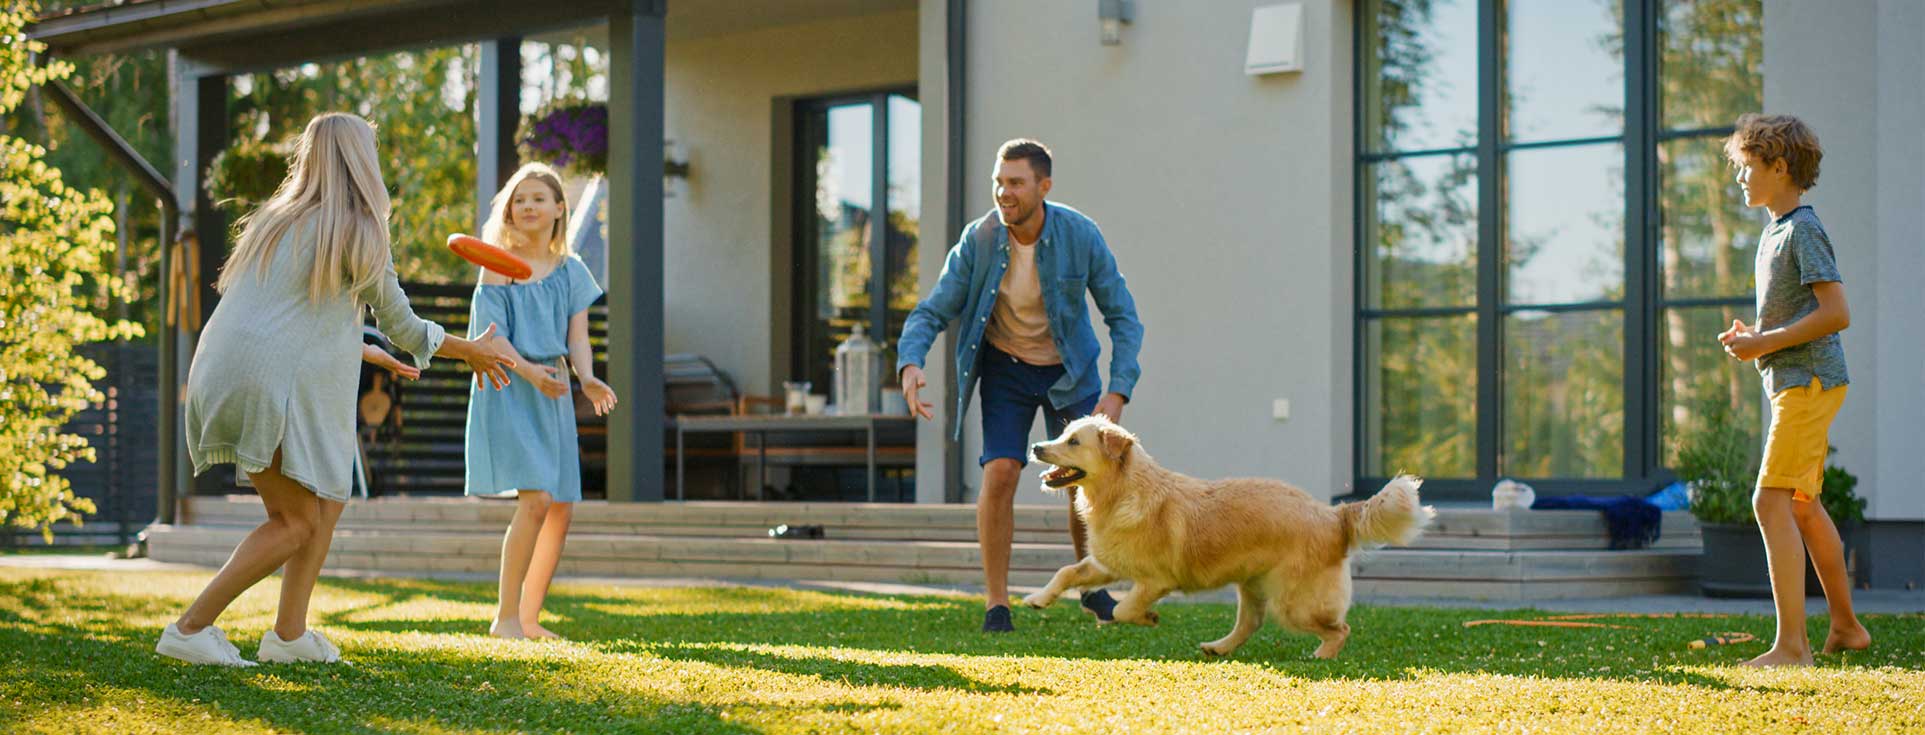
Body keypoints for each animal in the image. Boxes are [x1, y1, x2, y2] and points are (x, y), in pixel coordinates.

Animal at [1024, 413, 1432, 661]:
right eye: (1063, 434)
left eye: (1073, 442)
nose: (1036, 447)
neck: (1123, 491)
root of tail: (1333, 514)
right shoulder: (1106, 563)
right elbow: (1067, 572)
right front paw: (1038, 598)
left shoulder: (1156, 580)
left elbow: (1123, 608)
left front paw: (1148, 617)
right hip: (1252, 584)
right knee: (1250, 623)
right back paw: (1219, 647)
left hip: (1293, 603)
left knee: (1340, 628)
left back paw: (1321, 656)